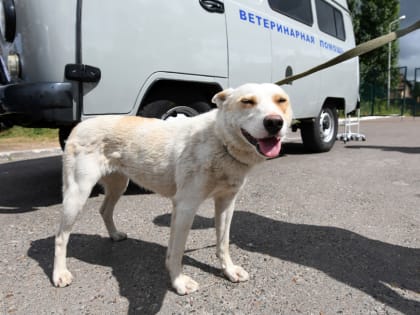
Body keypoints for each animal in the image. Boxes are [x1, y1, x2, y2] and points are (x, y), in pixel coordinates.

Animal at [52, 83, 292, 296]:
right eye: (247, 101)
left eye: (281, 101)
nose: (274, 122)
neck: (219, 140)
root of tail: (78, 126)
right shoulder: (186, 206)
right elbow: (177, 251)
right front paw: (179, 282)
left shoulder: (225, 202)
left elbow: (222, 243)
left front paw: (229, 271)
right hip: (78, 193)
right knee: (60, 236)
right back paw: (59, 274)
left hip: (119, 184)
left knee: (104, 210)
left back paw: (114, 235)